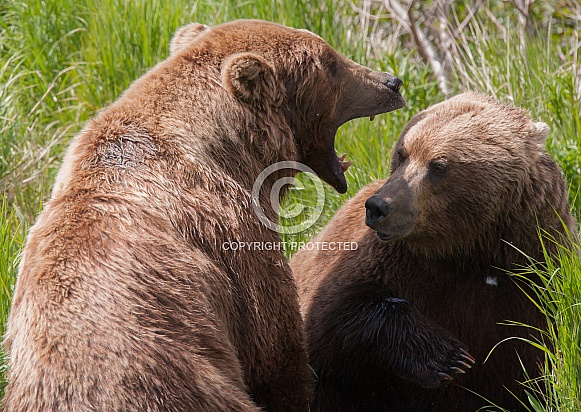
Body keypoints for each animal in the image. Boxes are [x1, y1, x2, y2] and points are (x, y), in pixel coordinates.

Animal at [292, 93, 572, 412]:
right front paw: (449, 358)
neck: (467, 249)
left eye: (438, 164)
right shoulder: (388, 263)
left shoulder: (531, 274)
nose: (378, 206)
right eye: (402, 153)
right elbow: (334, 317)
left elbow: (531, 365)